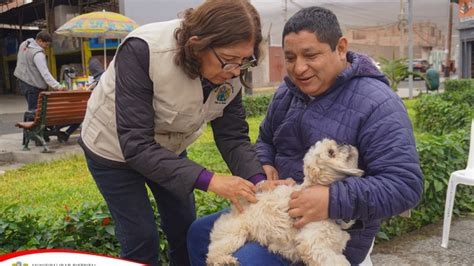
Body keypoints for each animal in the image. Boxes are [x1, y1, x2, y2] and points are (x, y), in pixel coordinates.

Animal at [206, 139, 364, 266]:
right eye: (331, 152)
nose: (344, 143)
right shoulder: (312, 246)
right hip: (235, 235)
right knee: (212, 255)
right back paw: (225, 260)